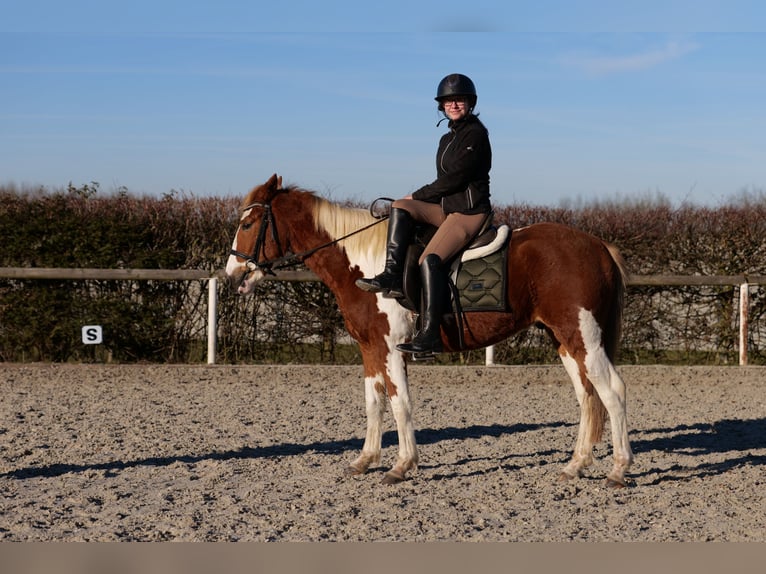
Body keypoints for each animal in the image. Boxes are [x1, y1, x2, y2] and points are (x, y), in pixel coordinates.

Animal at [226, 173, 636, 488]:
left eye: (247, 225)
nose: (233, 274)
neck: (368, 266)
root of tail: (598, 245)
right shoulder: (370, 349)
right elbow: (374, 403)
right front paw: (365, 460)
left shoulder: (393, 348)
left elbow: (400, 404)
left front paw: (401, 466)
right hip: (566, 340)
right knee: (587, 396)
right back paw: (576, 465)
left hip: (585, 337)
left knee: (612, 392)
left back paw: (618, 470)